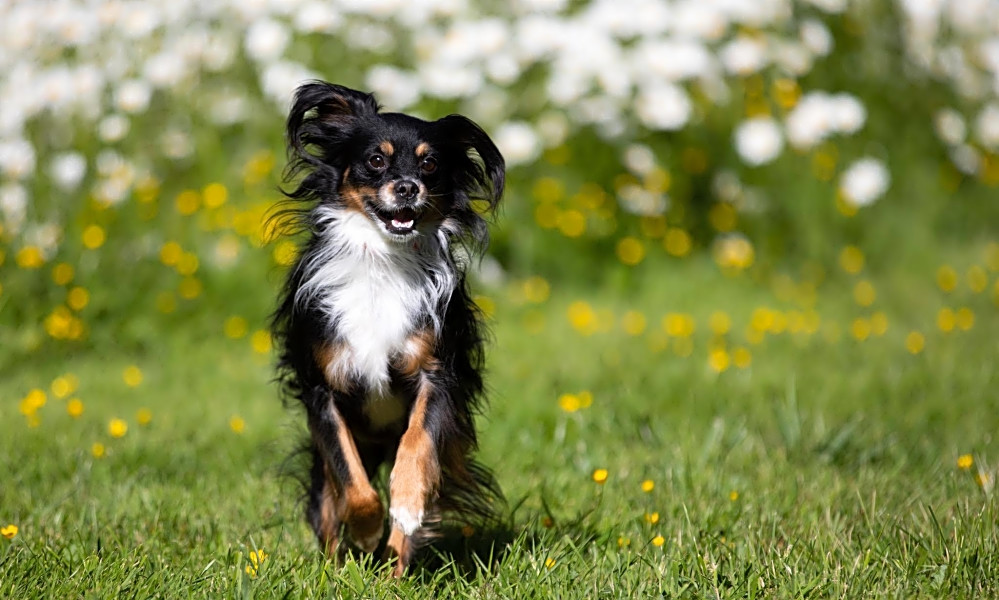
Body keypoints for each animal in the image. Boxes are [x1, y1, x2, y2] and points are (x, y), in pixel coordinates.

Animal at [272, 82, 504, 576]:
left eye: (430, 164)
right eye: (376, 160)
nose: (407, 187)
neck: (382, 261)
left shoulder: (437, 376)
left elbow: (418, 446)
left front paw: (408, 504)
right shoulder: (323, 391)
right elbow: (351, 479)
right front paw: (364, 528)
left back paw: (393, 570)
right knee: (328, 503)